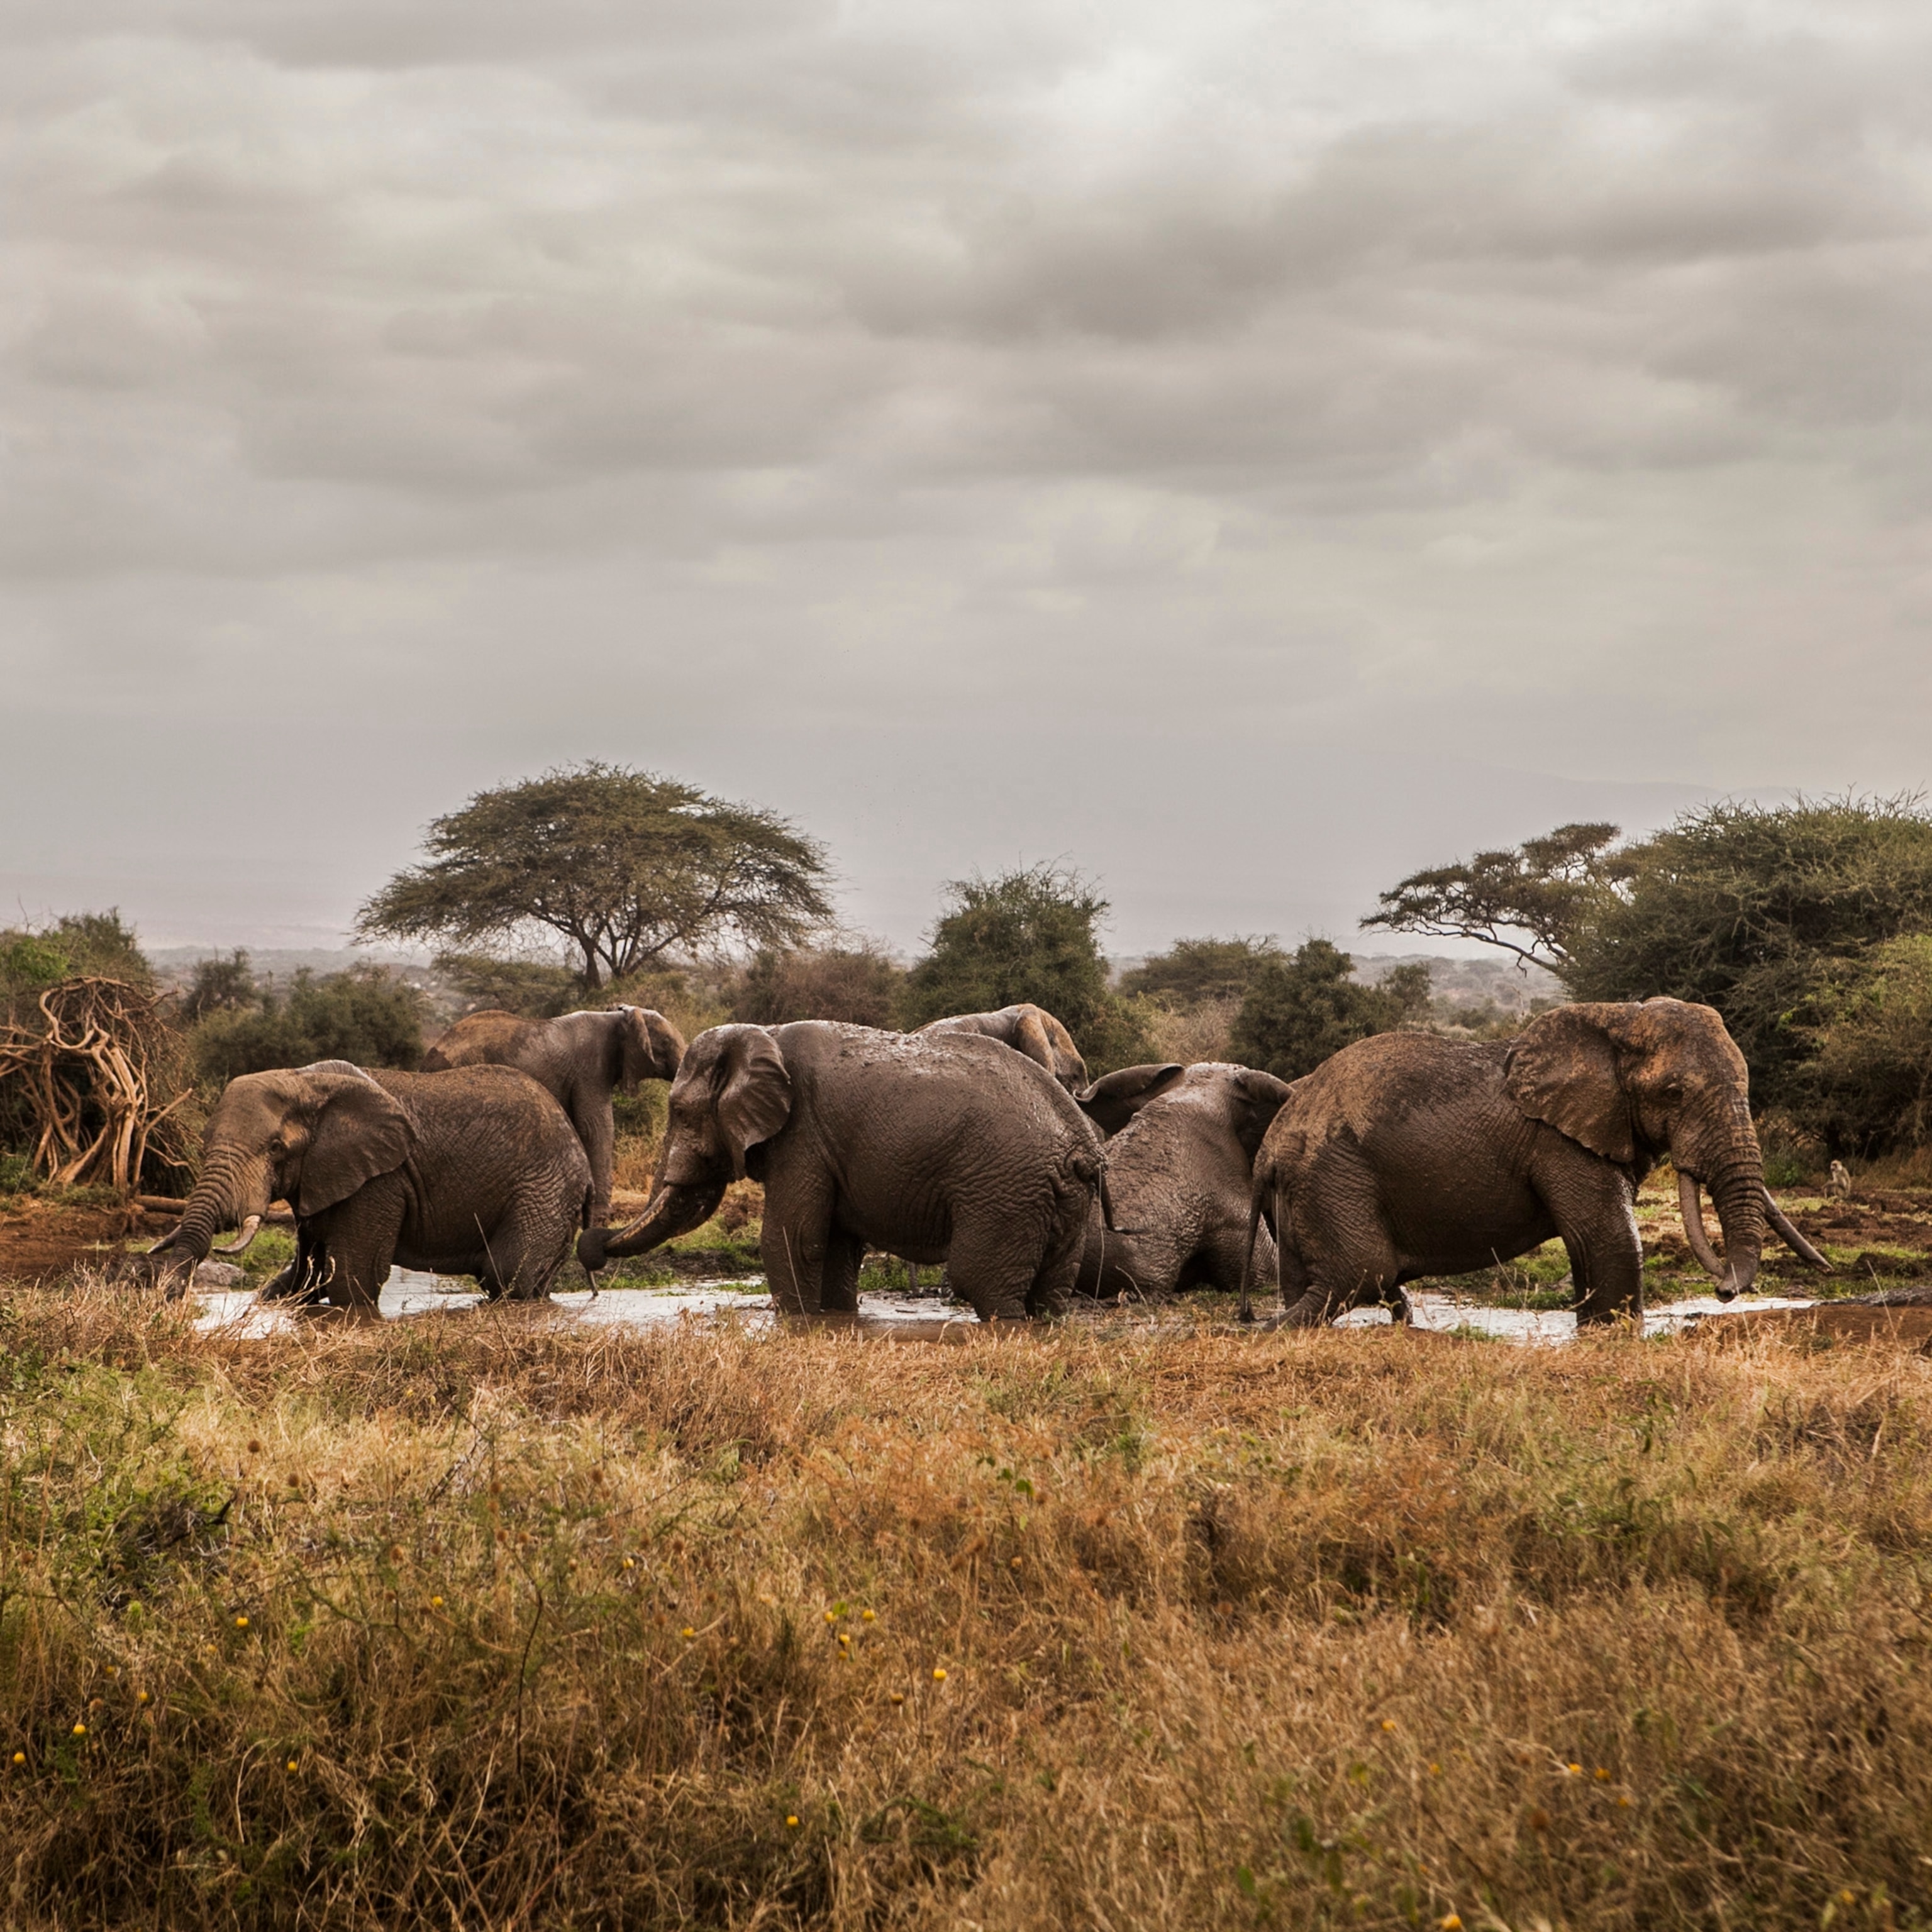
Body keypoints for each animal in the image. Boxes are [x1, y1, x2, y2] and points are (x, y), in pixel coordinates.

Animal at [145, 1060, 592, 1309]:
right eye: (203, 1143)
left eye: (275, 1148)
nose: (166, 1303)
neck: (304, 1081)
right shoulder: (321, 1177)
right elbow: (305, 1277)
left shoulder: (380, 1180)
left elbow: (349, 1278)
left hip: (545, 1191)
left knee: (508, 1272)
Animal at [421, 1005, 685, 1220]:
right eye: (666, 1044)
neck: (619, 1016)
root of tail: (428, 1060)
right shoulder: (591, 1070)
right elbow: (595, 1129)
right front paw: (597, 1220)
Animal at [578, 1021, 1104, 1321]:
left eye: (681, 1112)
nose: (589, 1249)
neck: (762, 1033)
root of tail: (1080, 1149)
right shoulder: (825, 1146)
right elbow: (836, 1245)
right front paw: (833, 1320)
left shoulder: (802, 1135)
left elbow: (794, 1238)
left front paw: (800, 1325)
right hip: (1054, 1198)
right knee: (1051, 1289)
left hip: (1004, 1193)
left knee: (981, 1280)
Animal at [1239, 998, 1829, 1329]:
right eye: (1674, 1093)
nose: (1726, 1291)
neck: (1617, 1019)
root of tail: (1270, 1146)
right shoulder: (1560, 1142)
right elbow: (1610, 1240)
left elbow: (1595, 1248)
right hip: (1333, 1173)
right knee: (1361, 1273)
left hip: (1307, 1186)